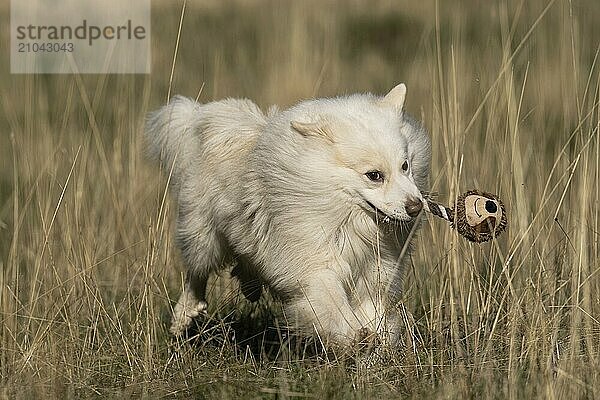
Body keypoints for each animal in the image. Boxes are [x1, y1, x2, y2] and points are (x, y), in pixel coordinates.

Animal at [148, 84, 434, 346]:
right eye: (374, 176)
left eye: (405, 166)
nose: (416, 207)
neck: (348, 218)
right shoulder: (315, 265)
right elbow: (332, 304)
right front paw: (353, 335)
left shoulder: (376, 269)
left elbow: (374, 311)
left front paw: (376, 345)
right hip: (204, 236)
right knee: (196, 273)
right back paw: (184, 316)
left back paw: (249, 287)